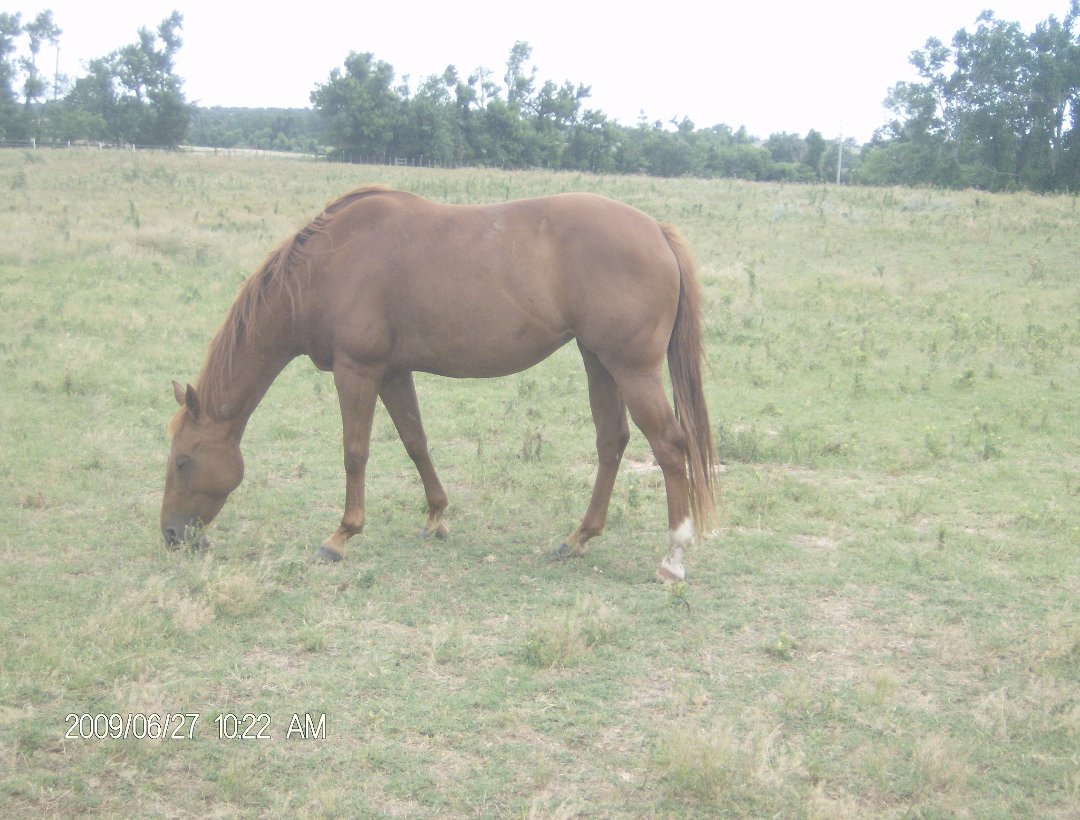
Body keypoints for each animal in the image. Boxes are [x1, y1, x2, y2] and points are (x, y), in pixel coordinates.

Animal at [161, 185, 718, 582]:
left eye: (183, 460)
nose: (171, 535)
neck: (325, 267)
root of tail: (656, 231)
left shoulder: (356, 369)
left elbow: (355, 451)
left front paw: (341, 535)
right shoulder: (392, 372)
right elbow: (415, 442)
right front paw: (436, 517)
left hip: (632, 369)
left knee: (669, 447)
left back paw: (673, 558)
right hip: (598, 362)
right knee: (612, 442)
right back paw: (578, 537)